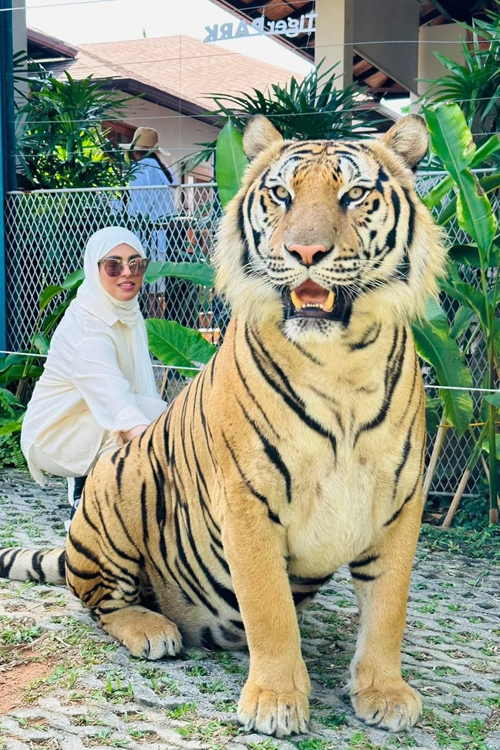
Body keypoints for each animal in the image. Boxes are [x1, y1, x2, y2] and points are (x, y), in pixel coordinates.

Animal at [1, 114, 447, 738]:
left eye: (354, 194)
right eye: (281, 195)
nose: (305, 251)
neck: (342, 365)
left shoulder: (399, 501)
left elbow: (389, 608)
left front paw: (383, 692)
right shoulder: (247, 500)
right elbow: (268, 607)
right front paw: (277, 700)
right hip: (120, 478)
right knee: (98, 599)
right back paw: (152, 630)